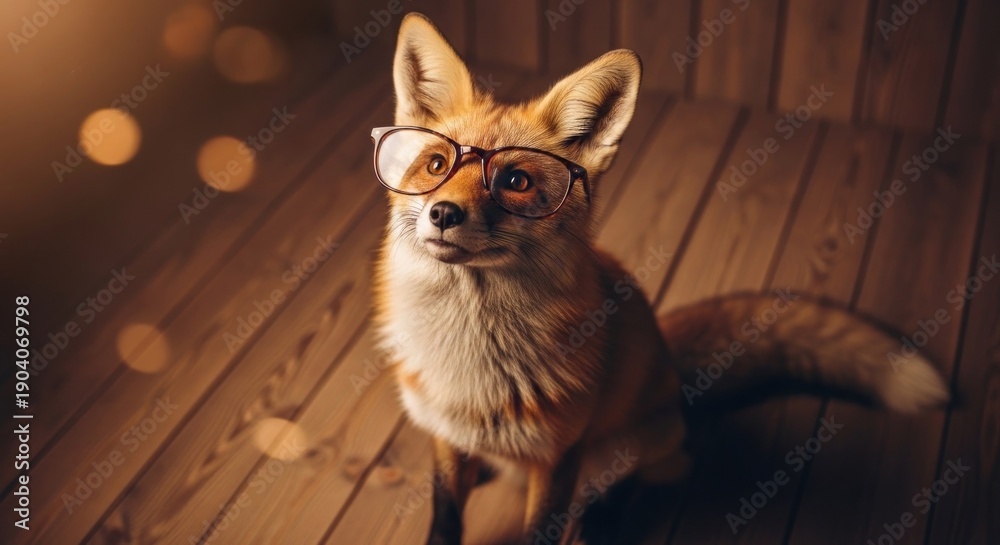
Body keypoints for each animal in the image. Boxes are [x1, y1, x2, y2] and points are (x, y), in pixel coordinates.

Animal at [372, 13, 950, 545]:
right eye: (436, 165)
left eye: (515, 180)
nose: (443, 213)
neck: (472, 371)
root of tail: (672, 368)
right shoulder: (445, 437)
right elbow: (445, 515)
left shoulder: (559, 456)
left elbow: (543, 528)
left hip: (629, 443)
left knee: (661, 469)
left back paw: (604, 517)